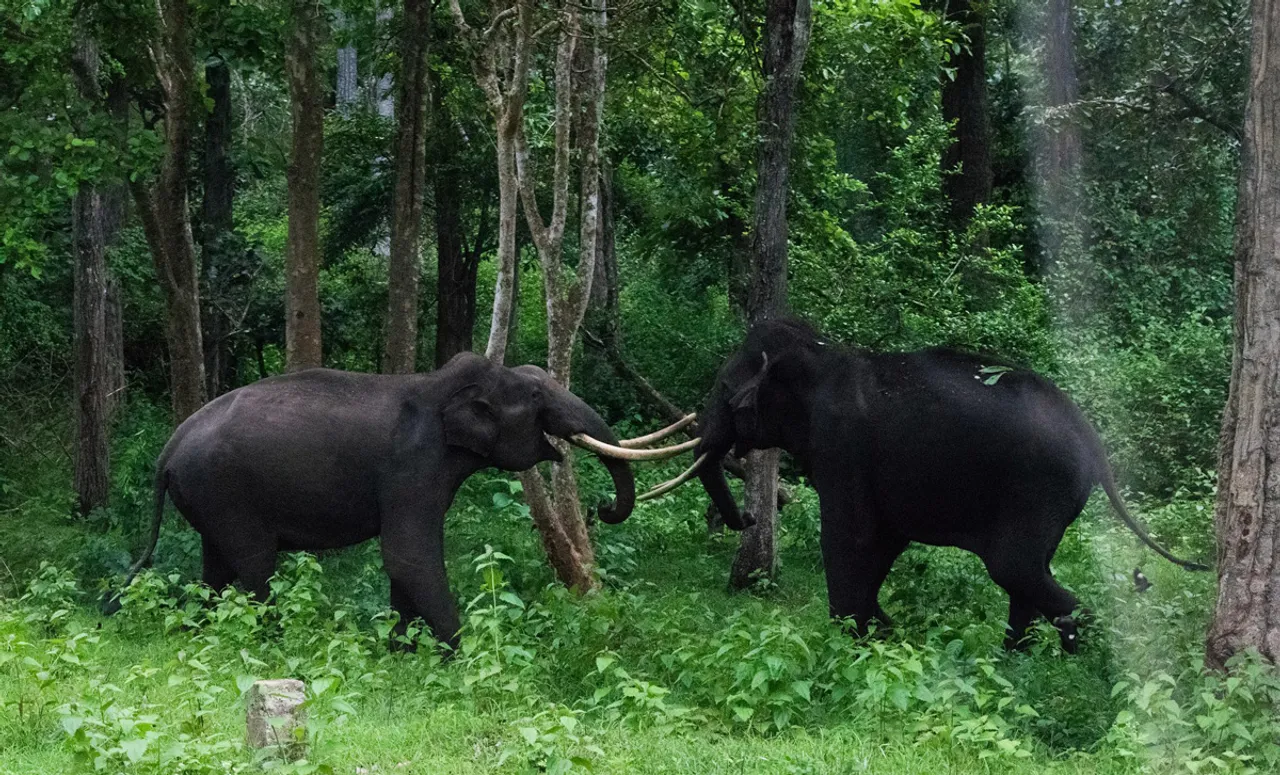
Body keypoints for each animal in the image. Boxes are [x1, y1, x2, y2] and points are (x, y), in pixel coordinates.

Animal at [108, 350, 691, 645]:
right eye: (534, 395)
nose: (602, 508)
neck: (440, 385)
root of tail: (168, 450)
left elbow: (404, 563)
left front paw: (402, 650)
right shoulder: (413, 468)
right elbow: (409, 555)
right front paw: (464, 654)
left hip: (207, 497)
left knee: (215, 568)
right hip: (226, 493)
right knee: (253, 564)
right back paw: (268, 644)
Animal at [675, 317, 1203, 650]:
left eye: (727, 390)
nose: (746, 517)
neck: (821, 351)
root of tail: (1095, 441)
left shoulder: (842, 448)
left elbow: (850, 538)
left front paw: (856, 640)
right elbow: (884, 542)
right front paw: (884, 634)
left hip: (1038, 489)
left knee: (1014, 569)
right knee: (1028, 576)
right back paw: (1014, 663)